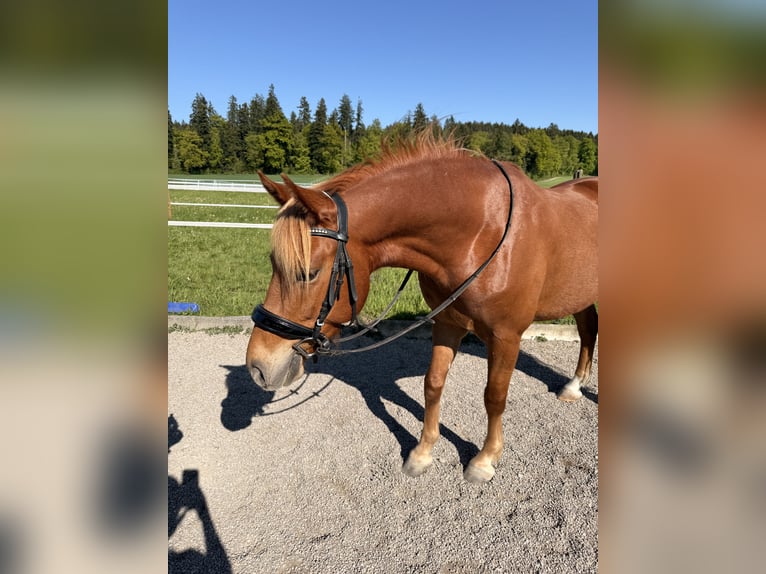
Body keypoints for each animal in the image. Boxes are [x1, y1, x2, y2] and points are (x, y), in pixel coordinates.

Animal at [246, 135, 598, 483]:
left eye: (309, 273)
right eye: (272, 263)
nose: (258, 368)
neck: (483, 233)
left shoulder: (506, 335)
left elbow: (494, 396)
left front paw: (485, 459)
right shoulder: (447, 323)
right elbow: (433, 384)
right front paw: (422, 452)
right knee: (588, 326)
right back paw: (573, 385)